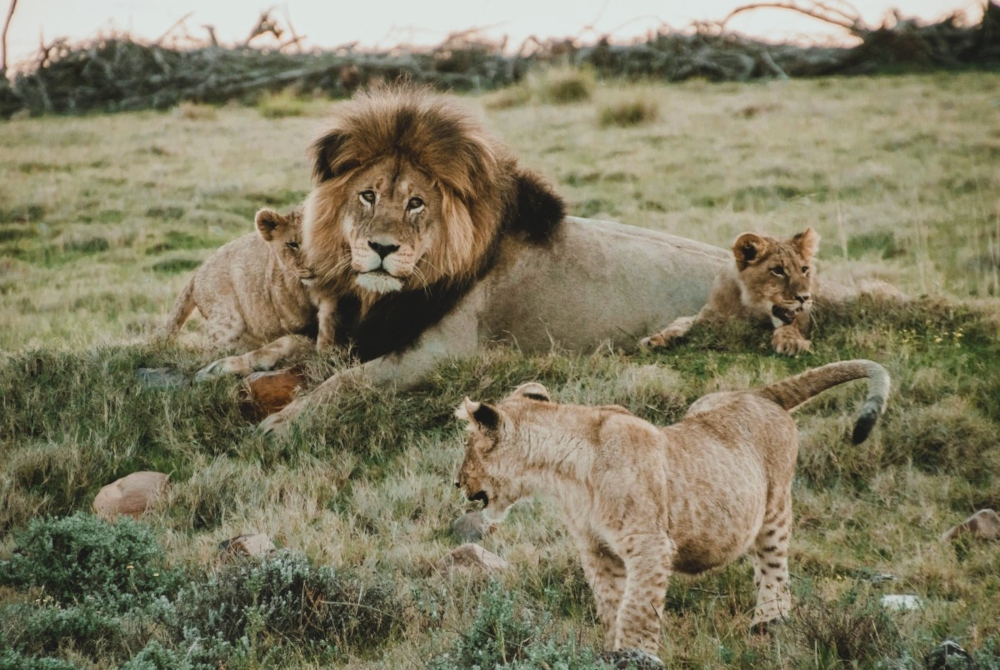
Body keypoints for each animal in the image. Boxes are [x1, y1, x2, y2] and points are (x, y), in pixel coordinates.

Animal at [247, 84, 729, 433]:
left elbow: (347, 381)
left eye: (416, 204)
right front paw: (241, 366)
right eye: (368, 195)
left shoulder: (443, 352)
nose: (382, 248)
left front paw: (281, 424)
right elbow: (293, 346)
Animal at [455, 360, 890, 655]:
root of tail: (760, 393)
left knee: (773, 568)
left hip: (775, 507)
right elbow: (612, 604)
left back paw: (769, 623)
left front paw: (635, 655)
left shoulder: (649, 544)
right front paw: (613, 650)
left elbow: (637, 609)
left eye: (467, 447)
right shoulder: (596, 550)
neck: (566, 474)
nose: (457, 482)